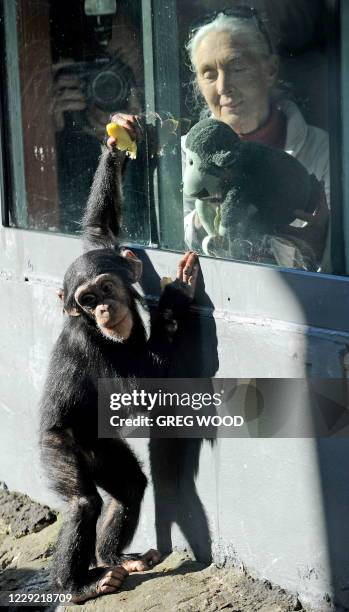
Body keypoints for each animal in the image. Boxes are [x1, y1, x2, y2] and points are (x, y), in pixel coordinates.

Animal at [39, 146, 197, 600]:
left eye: (106, 288)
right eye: (87, 300)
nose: (104, 310)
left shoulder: (100, 247)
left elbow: (98, 228)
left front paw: (118, 144)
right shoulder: (94, 350)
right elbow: (141, 390)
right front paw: (176, 294)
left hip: (102, 448)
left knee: (129, 487)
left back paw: (116, 558)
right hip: (57, 445)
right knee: (82, 504)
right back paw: (78, 584)